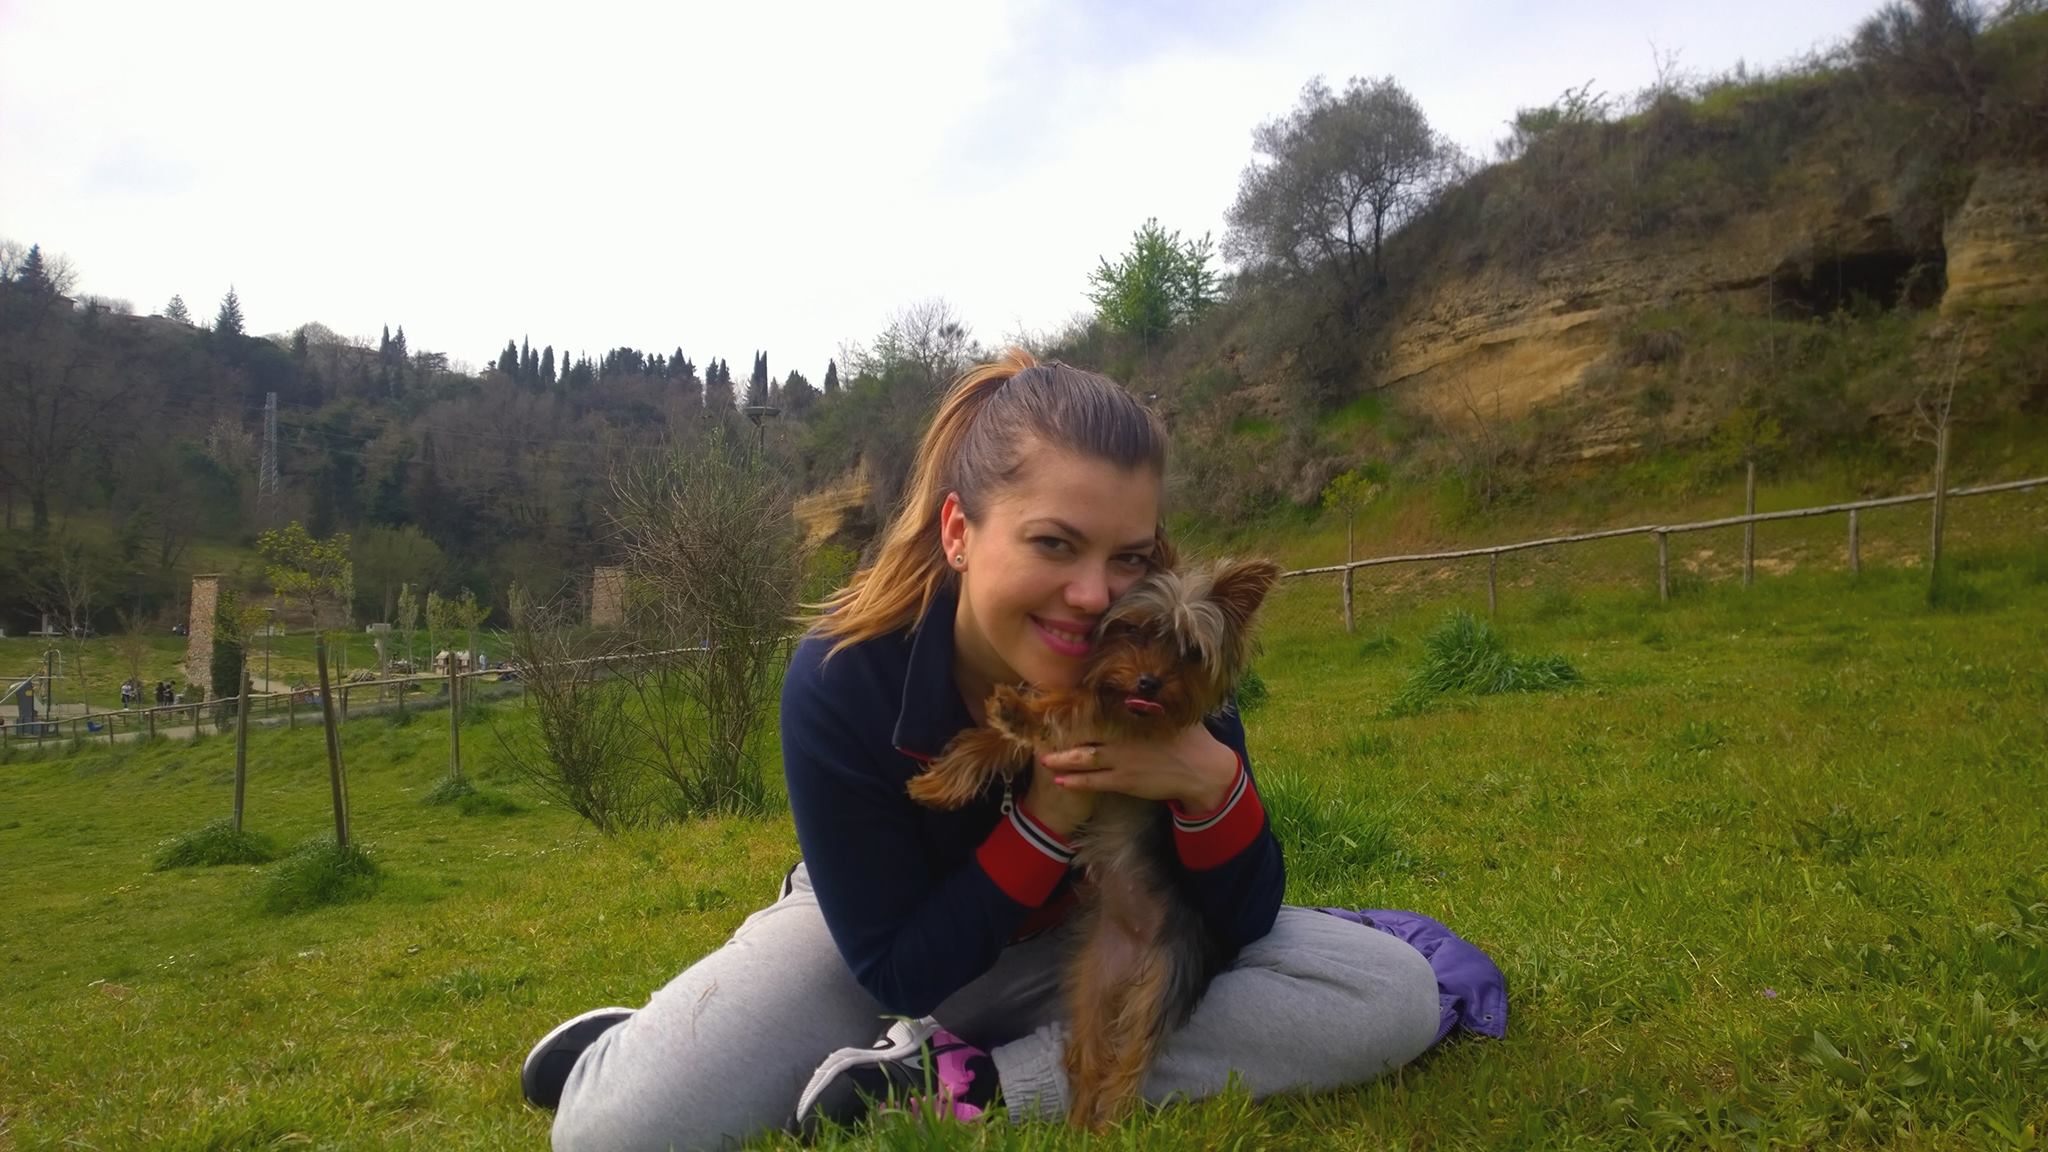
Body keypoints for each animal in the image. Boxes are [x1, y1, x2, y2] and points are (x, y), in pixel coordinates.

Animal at [907, 556, 1282, 1127]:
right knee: (1087, 1053)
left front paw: (1021, 713)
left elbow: (1075, 702)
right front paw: (942, 781)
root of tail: (1132, 953)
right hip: (1090, 981)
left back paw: (1109, 1126)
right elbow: (1000, 741)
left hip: (1165, 980)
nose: (1149, 682)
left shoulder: (1126, 728)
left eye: (1190, 652)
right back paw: (1080, 1123)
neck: (1130, 707)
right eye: (1134, 631)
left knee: (1130, 1060)